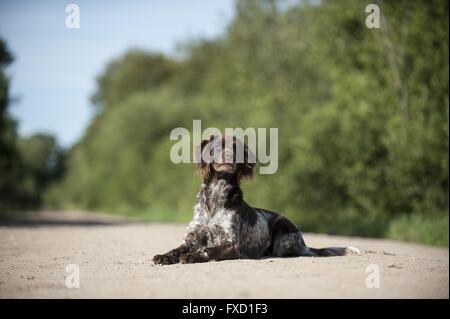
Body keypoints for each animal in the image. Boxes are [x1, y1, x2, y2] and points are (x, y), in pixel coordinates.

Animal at [153, 135, 356, 264]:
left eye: (236, 148)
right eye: (217, 147)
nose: (229, 155)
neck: (216, 199)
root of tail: (305, 244)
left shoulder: (231, 244)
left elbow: (206, 250)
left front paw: (191, 257)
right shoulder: (192, 239)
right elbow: (177, 249)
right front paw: (164, 256)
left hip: (283, 228)